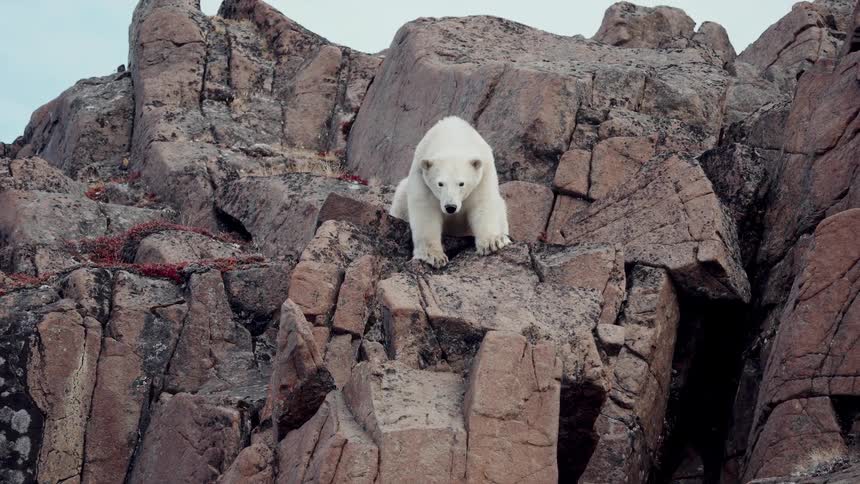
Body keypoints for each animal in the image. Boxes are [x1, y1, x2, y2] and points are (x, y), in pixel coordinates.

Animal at [389, 115, 511, 268]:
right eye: (440, 184)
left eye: (461, 183)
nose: (450, 207)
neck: (452, 137)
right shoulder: (421, 175)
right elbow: (426, 211)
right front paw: (434, 256)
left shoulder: (484, 175)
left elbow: (482, 204)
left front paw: (492, 242)